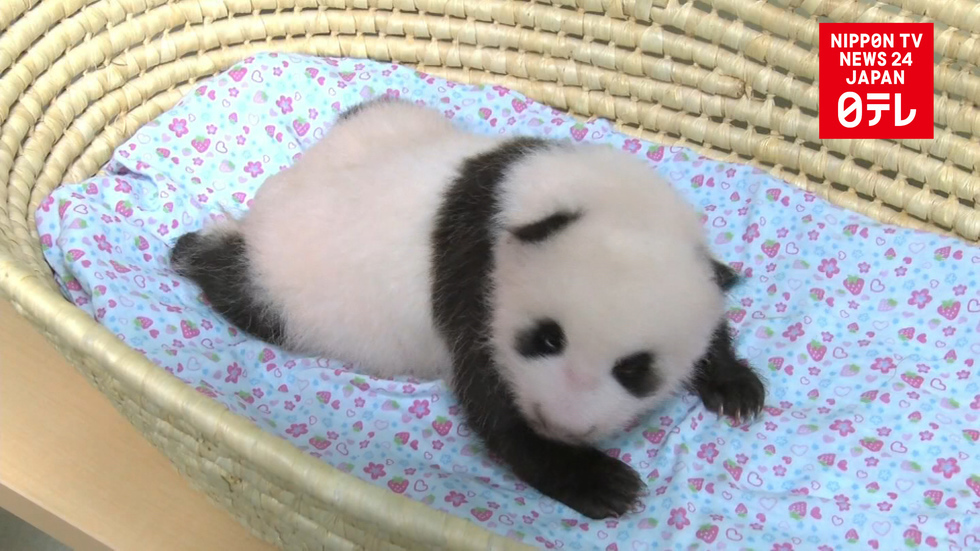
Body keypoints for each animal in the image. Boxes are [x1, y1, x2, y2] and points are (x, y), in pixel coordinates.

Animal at [171, 97, 766, 519]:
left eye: (634, 370)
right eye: (546, 338)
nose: (561, 424)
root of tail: (277, 186)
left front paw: (734, 386)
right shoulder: (476, 271)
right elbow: (487, 392)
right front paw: (600, 482)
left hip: (389, 119)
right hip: (286, 281)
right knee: (240, 284)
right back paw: (193, 251)